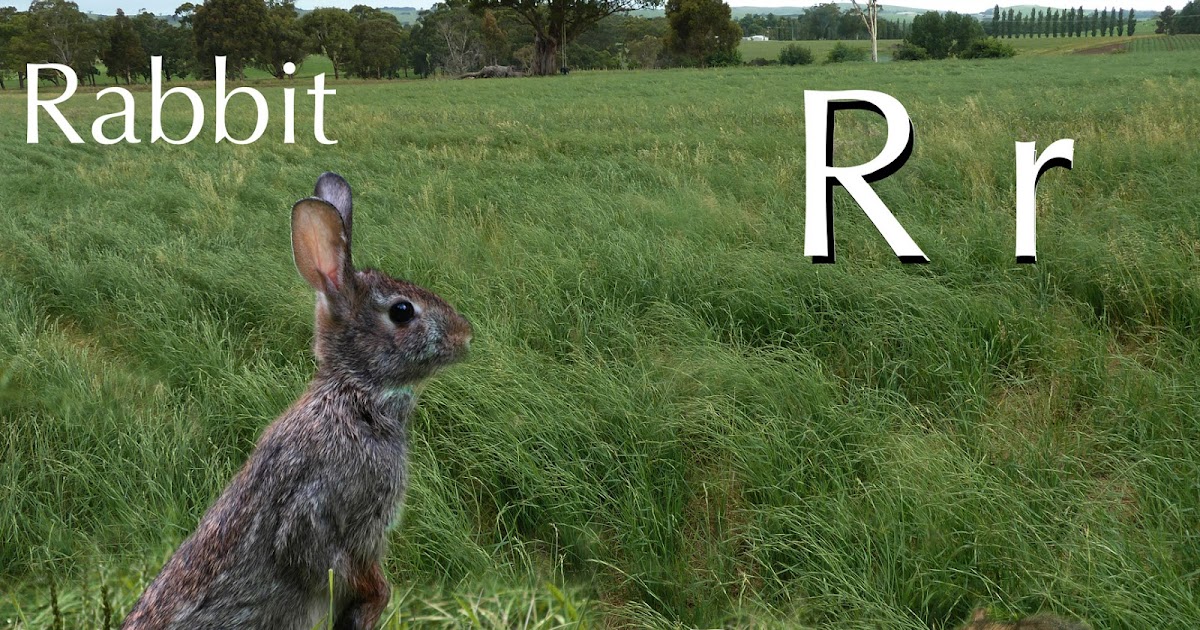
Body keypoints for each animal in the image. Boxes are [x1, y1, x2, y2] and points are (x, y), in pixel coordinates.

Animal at [121, 172, 473, 630]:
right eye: (401, 311)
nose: (465, 336)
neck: (354, 393)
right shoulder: (318, 510)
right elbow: (324, 558)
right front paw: (380, 593)